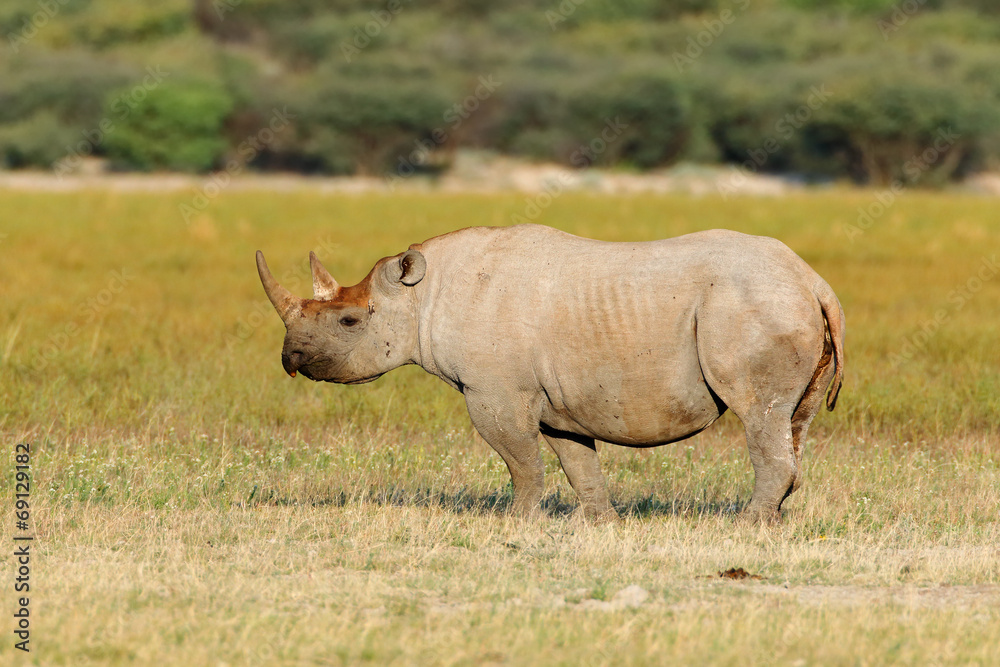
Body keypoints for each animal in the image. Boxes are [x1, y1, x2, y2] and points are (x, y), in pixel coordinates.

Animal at [256, 224, 844, 521]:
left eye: (350, 321)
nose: (289, 359)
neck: (421, 295)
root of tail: (814, 281)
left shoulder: (493, 389)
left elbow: (521, 461)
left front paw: (517, 522)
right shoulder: (558, 399)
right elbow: (576, 463)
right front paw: (598, 524)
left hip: (755, 306)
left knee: (759, 414)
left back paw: (744, 528)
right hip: (784, 304)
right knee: (794, 422)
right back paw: (775, 522)